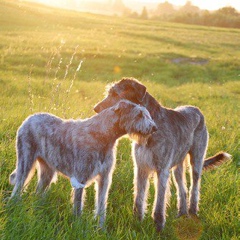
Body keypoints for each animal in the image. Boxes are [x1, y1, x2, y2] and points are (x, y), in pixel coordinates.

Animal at [9, 99, 157, 227]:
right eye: (139, 114)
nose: (154, 128)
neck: (102, 135)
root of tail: (29, 118)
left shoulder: (104, 178)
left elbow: (101, 203)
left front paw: (101, 228)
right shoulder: (80, 177)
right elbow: (78, 205)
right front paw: (78, 225)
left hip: (48, 171)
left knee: (38, 190)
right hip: (25, 160)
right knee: (19, 184)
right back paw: (14, 204)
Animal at [94, 78, 231, 232]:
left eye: (115, 94)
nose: (95, 109)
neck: (151, 126)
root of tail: (196, 109)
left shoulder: (162, 170)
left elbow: (159, 202)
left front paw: (158, 227)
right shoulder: (141, 168)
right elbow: (139, 198)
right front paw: (137, 222)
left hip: (196, 160)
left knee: (194, 187)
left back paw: (192, 212)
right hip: (178, 165)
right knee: (182, 188)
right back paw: (182, 214)